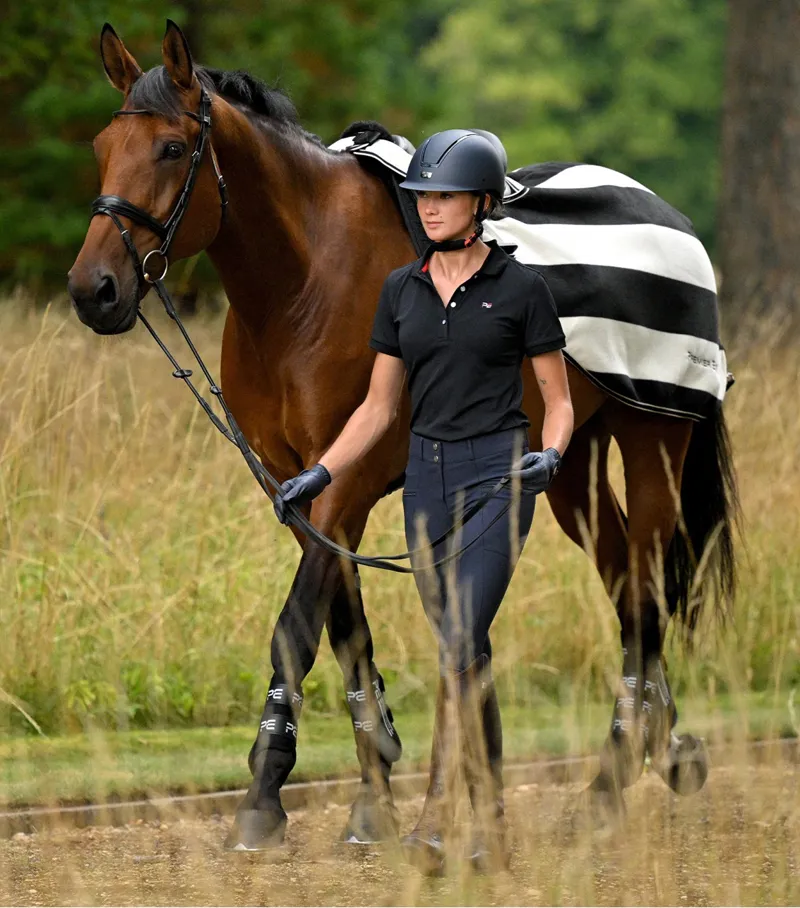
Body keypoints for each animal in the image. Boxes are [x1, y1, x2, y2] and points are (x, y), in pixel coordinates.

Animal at [68, 21, 738, 850]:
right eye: (102, 145)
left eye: (168, 148)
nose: (93, 290)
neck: (305, 281)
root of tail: (673, 222)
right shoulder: (299, 485)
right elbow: (346, 629)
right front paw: (374, 792)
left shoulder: (347, 480)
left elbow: (298, 626)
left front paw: (264, 793)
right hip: (570, 462)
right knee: (624, 583)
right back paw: (659, 745)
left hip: (652, 441)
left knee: (644, 594)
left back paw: (612, 785)